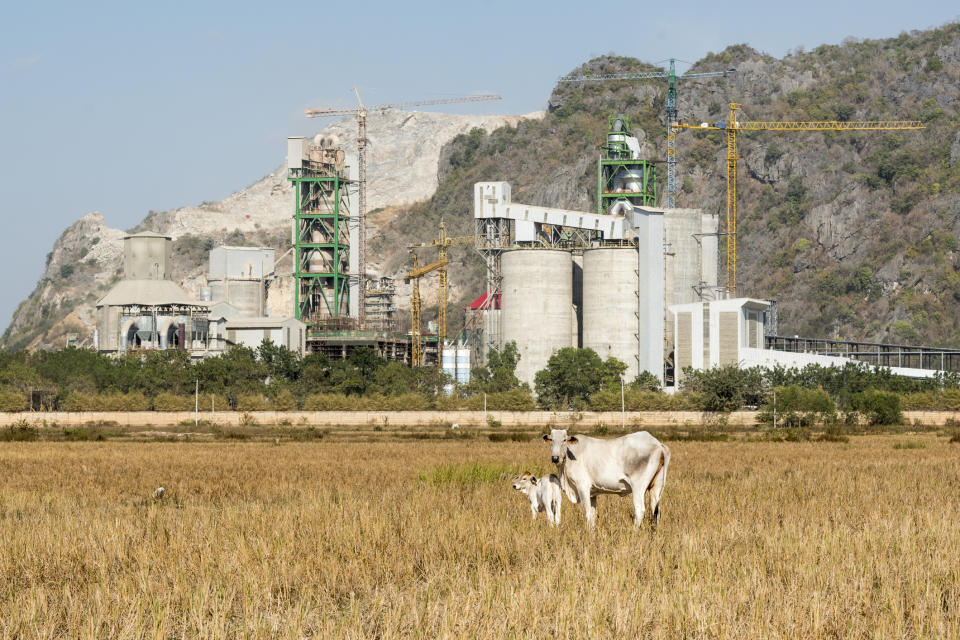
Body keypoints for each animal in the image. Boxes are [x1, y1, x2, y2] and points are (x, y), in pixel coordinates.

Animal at [544, 428, 672, 528]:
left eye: (564, 440)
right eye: (551, 440)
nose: (555, 458)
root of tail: (658, 444)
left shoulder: (583, 487)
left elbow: (588, 513)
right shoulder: (592, 493)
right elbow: (593, 515)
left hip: (638, 487)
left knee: (640, 510)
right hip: (657, 487)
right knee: (656, 511)